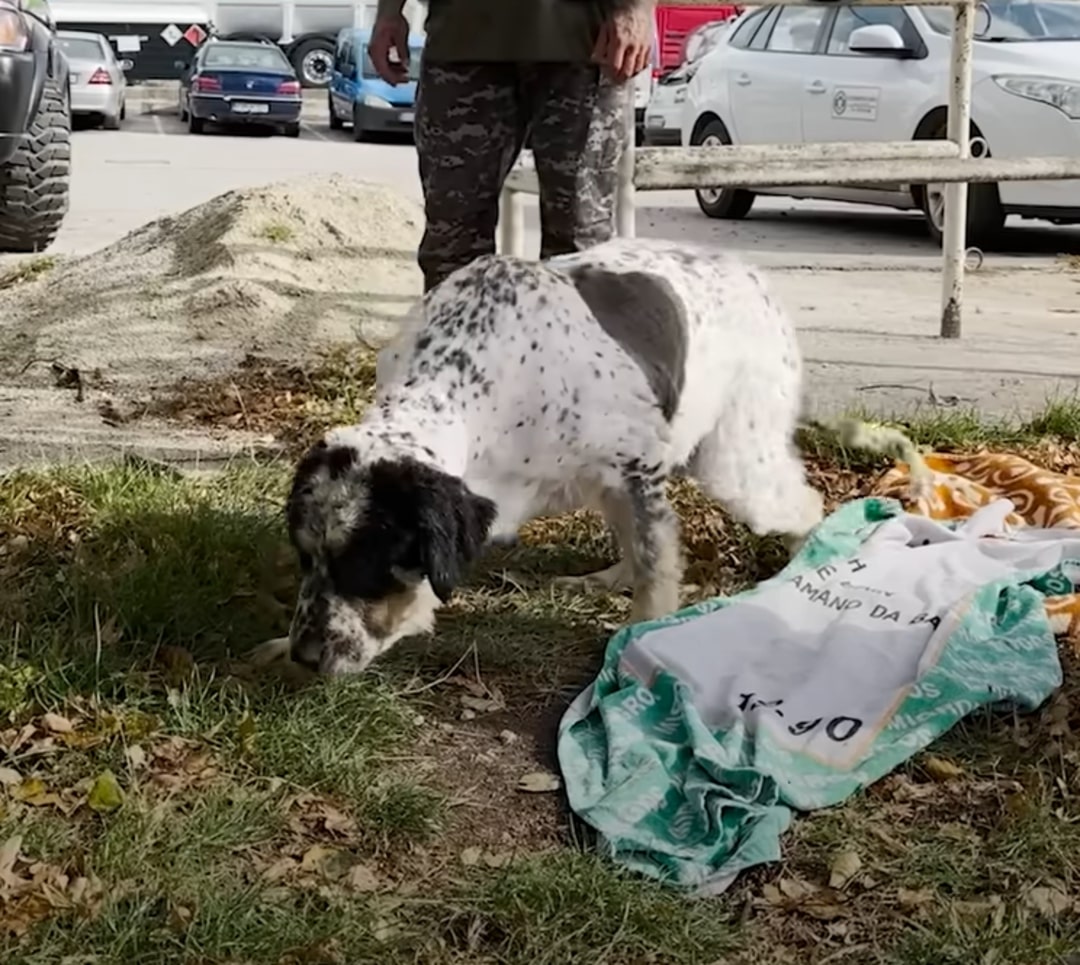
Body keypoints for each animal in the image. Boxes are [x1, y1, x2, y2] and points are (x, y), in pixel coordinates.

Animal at [282, 238, 820, 677]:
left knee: (805, 506)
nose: (303, 657)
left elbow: (656, 570)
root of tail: (749, 270)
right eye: (305, 558)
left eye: (366, 562)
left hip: (735, 465)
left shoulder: (639, 466)